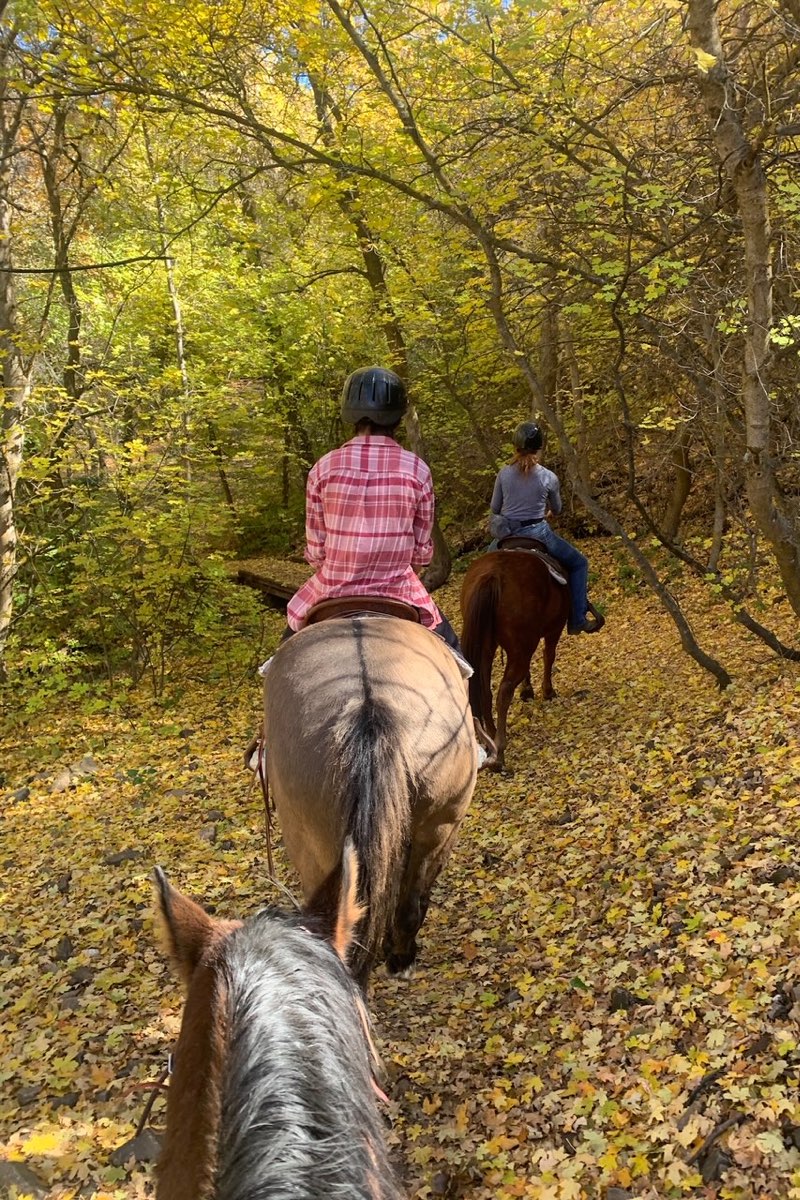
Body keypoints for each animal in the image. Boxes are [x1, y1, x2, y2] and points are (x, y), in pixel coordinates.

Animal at [460, 547, 573, 768]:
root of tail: (491, 576)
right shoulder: (554, 630)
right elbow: (549, 656)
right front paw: (547, 691)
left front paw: (527, 691)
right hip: (522, 645)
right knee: (505, 690)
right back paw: (499, 752)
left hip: (487, 648)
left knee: (485, 691)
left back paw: (492, 739)